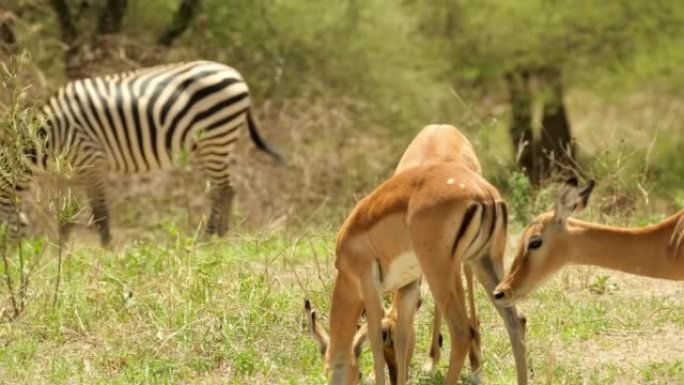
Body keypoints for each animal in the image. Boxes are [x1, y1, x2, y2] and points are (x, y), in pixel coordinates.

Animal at [0, 60, 282, 246]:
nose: (10, 264)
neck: (46, 138)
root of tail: (235, 73)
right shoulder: (69, 175)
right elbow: (65, 219)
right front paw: (62, 252)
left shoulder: (92, 161)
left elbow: (100, 214)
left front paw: (106, 252)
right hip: (208, 145)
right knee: (221, 190)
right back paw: (215, 237)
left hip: (215, 138)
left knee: (224, 190)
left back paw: (213, 239)